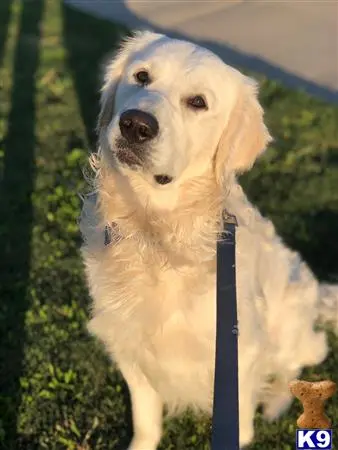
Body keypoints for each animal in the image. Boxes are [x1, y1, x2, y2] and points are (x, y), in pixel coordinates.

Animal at [80, 31, 338, 450]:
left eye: (197, 102)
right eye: (141, 76)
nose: (135, 125)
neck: (157, 232)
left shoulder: (240, 355)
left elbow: (241, 423)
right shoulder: (130, 347)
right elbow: (146, 420)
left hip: (291, 314)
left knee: (294, 366)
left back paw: (278, 403)